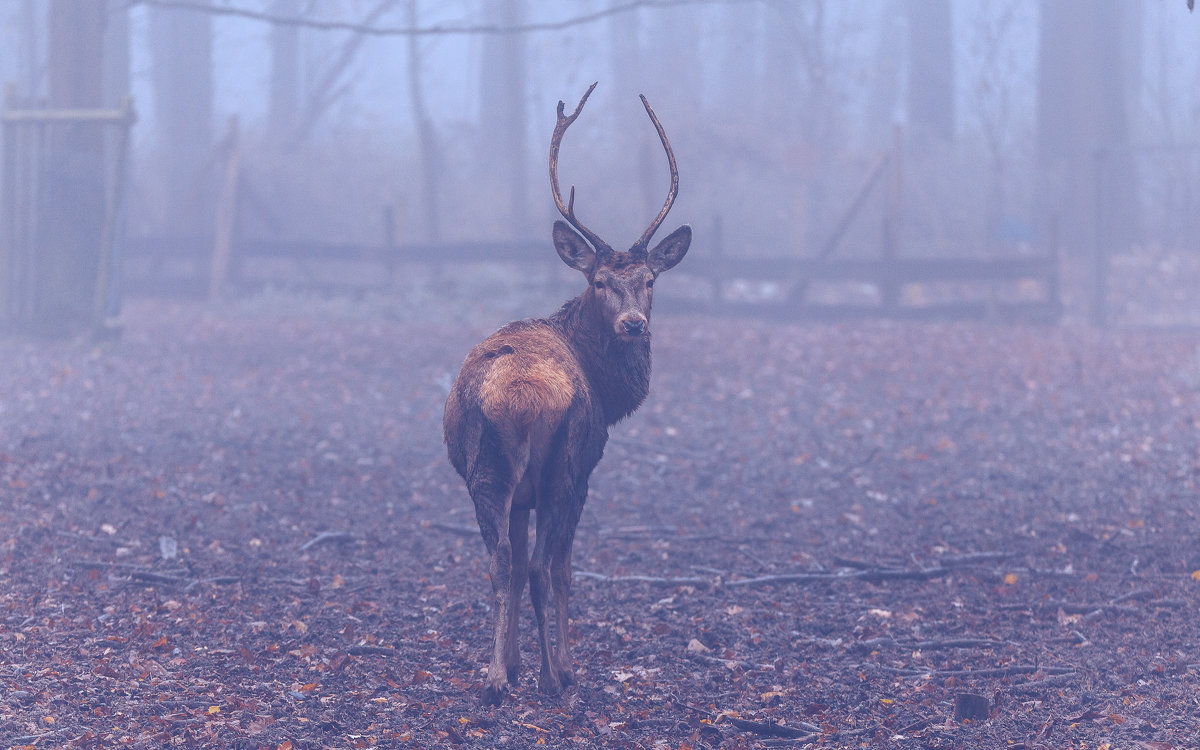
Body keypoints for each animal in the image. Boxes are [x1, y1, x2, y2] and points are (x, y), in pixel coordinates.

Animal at [441, 84, 691, 705]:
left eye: (649, 280)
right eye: (598, 281)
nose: (633, 324)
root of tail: (525, 398)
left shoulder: (521, 496)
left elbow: (513, 560)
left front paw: (513, 663)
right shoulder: (585, 472)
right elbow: (560, 569)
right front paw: (558, 667)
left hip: (488, 471)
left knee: (500, 561)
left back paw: (495, 679)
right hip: (565, 466)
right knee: (542, 566)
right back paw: (557, 676)